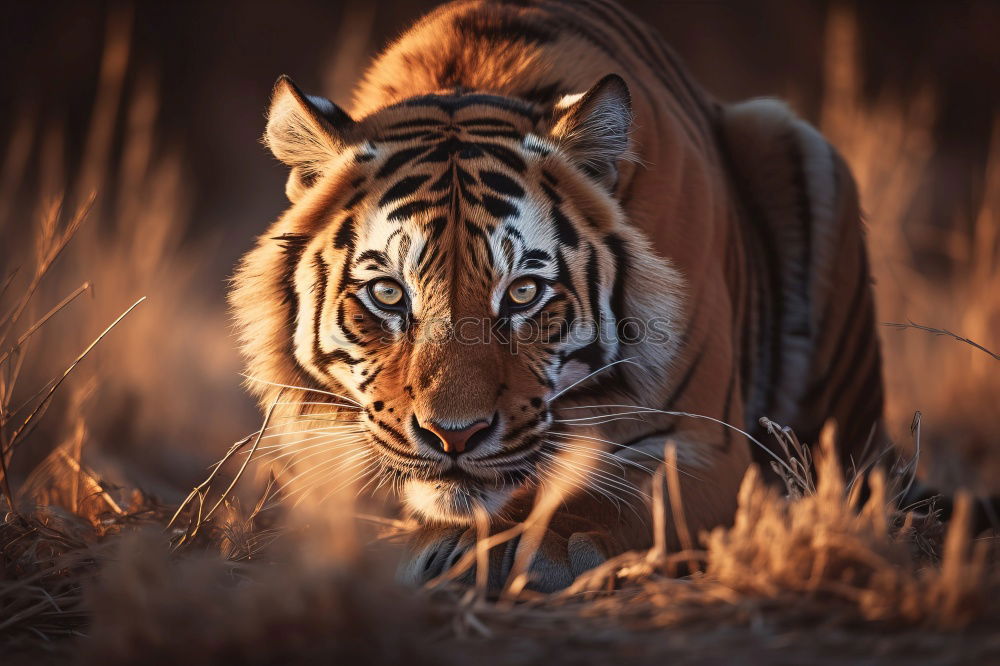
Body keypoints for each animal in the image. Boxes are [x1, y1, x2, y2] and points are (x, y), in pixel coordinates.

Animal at [229, 0, 884, 592]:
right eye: (389, 293)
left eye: (523, 293)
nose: (454, 437)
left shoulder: (702, 442)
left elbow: (613, 500)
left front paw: (538, 546)